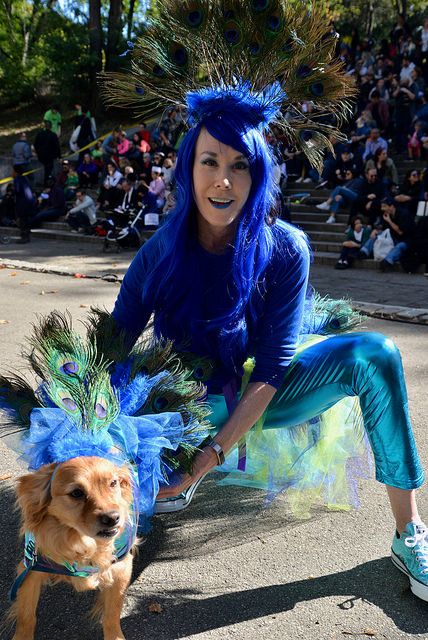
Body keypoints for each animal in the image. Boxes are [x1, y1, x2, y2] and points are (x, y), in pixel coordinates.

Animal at [9, 458, 135, 640]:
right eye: (76, 493)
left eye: (113, 483)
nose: (113, 518)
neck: (81, 542)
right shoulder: (30, 569)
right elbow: (26, 617)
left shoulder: (122, 568)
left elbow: (112, 615)